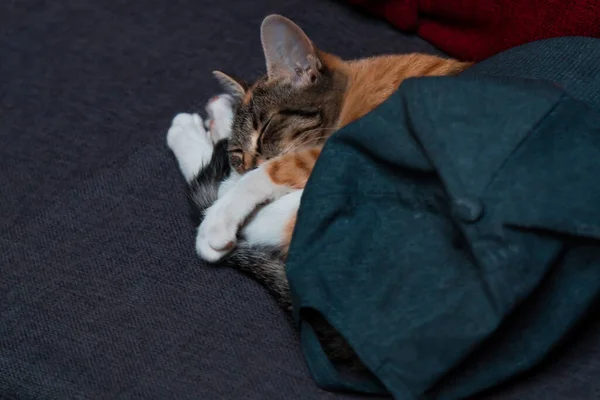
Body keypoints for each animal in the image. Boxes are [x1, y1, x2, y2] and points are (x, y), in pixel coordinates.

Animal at [166, 14, 472, 366]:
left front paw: (218, 219)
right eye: (238, 154)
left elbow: (265, 174)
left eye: (266, 128)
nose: (245, 162)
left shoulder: (332, 151)